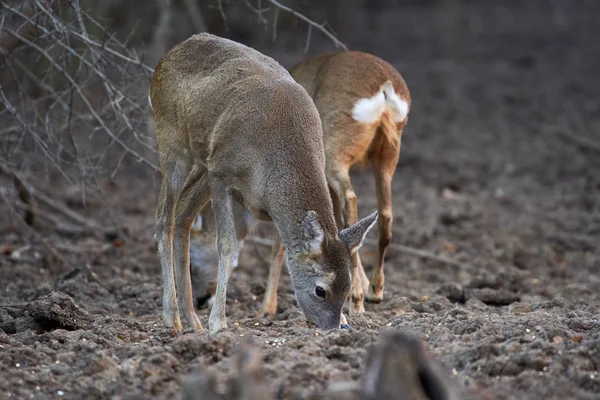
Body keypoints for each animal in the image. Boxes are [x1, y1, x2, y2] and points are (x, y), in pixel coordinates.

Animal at [149, 33, 376, 334]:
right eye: (320, 290)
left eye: (349, 287)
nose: (333, 328)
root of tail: (166, 57)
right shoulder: (221, 173)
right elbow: (227, 245)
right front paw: (219, 322)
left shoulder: (222, 175)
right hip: (172, 142)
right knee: (164, 219)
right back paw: (172, 318)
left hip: (202, 162)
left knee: (183, 215)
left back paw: (192, 320)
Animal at [190, 50, 410, 318]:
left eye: (191, 262)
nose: (201, 300)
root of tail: (385, 88)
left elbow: (282, 242)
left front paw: (266, 309)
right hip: (387, 153)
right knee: (385, 212)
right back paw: (375, 290)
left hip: (337, 148)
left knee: (352, 198)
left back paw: (357, 300)